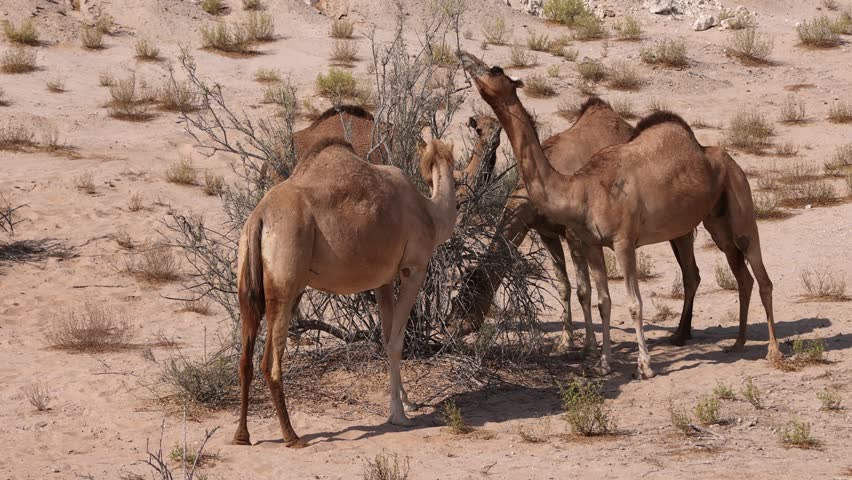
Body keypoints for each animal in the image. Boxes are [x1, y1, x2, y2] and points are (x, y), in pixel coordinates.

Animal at [233, 138, 457, 447]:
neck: (430, 213)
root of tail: (259, 217)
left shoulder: (383, 281)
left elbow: (387, 336)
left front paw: (406, 401)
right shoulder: (414, 268)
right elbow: (396, 342)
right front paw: (399, 415)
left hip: (249, 281)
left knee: (245, 358)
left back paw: (241, 435)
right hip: (287, 283)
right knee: (270, 363)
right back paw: (292, 436)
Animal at [453, 98, 700, 353]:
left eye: (466, 300)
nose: (452, 327)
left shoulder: (574, 233)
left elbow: (584, 290)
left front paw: (589, 346)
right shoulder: (546, 232)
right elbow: (563, 286)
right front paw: (564, 342)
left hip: (679, 222)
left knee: (690, 273)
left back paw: (681, 335)